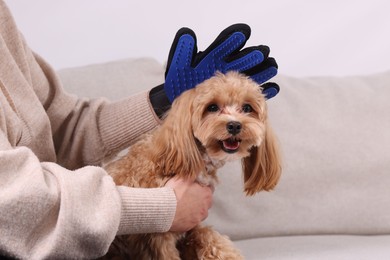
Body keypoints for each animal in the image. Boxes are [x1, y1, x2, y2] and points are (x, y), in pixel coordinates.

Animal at [103, 70, 280, 258]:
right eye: (212, 107)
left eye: (247, 108)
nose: (234, 125)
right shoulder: (157, 239)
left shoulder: (190, 228)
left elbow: (211, 240)